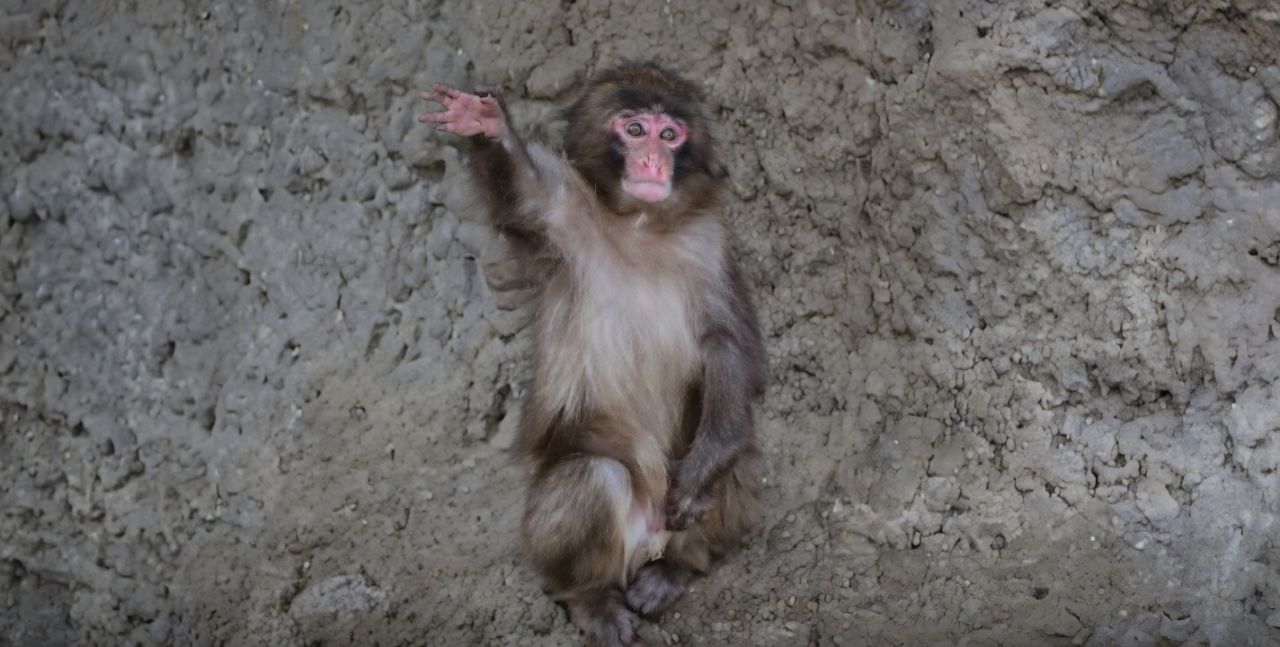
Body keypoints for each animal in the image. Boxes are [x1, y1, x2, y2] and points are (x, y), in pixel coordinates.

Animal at [420, 63, 766, 647]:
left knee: (737, 455)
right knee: (594, 477)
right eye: (634, 129)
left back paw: (674, 570)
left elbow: (727, 342)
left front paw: (705, 468)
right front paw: (483, 121)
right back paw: (592, 600)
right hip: (564, 538)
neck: (641, 223)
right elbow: (524, 193)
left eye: (670, 134)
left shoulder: (709, 244)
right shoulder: (563, 215)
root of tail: (648, 539)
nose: (652, 161)